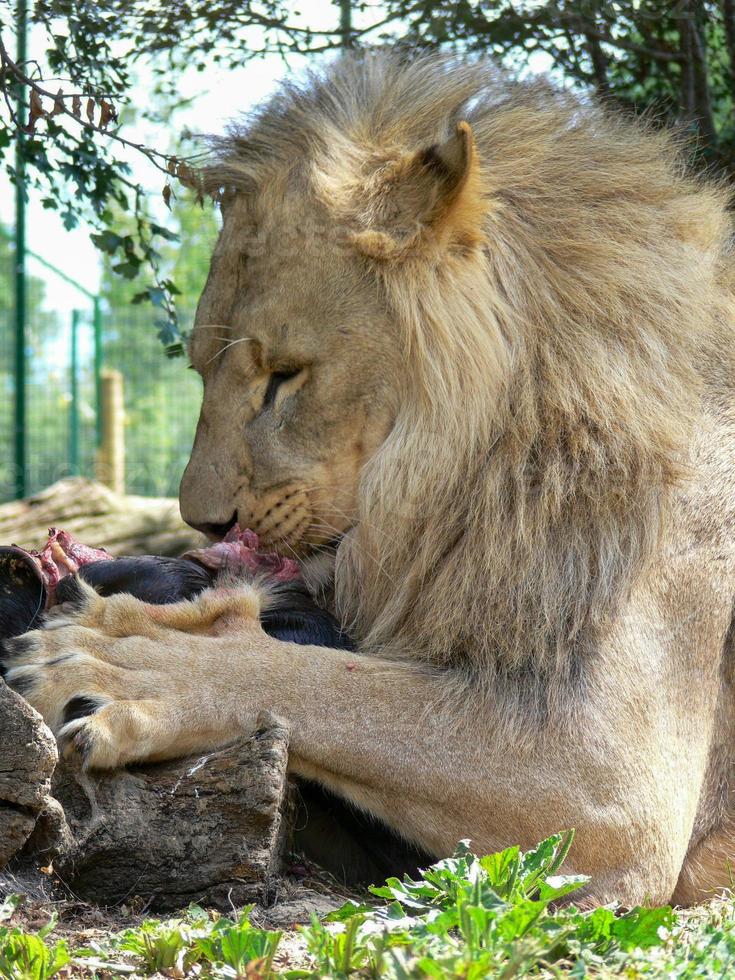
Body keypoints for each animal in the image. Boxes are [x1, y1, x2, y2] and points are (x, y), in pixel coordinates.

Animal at [4, 49, 735, 908]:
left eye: (284, 375)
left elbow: (329, 685)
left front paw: (119, 660)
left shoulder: (609, 779)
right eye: (199, 369)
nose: (204, 522)